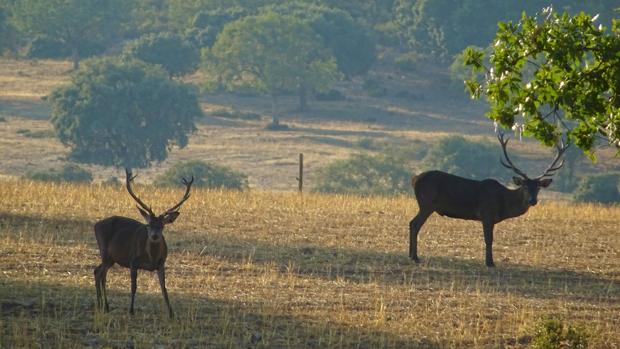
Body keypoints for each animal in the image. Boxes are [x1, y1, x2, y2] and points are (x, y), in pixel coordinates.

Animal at [92, 167, 191, 316]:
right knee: (101, 273)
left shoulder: (161, 263)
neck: (151, 257)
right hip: (104, 250)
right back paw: (104, 306)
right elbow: (134, 286)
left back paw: (101, 305)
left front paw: (171, 313)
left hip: (111, 258)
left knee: (97, 271)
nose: (154, 236)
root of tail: (96, 224)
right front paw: (131, 310)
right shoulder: (133, 260)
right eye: (149, 225)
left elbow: (164, 288)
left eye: (162, 225)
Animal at [410, 133, 568, 266]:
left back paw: (412, 255)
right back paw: (415, 257)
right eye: (524, 186)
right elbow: (489, 239)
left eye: (538, 188)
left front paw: (490, 261)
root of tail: (415, 179)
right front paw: (490, 262)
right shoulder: (486, 214)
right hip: (427, 204)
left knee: (412, 223)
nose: (532, 200)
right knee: (414, 224)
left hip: (425, 205)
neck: (503, 204)